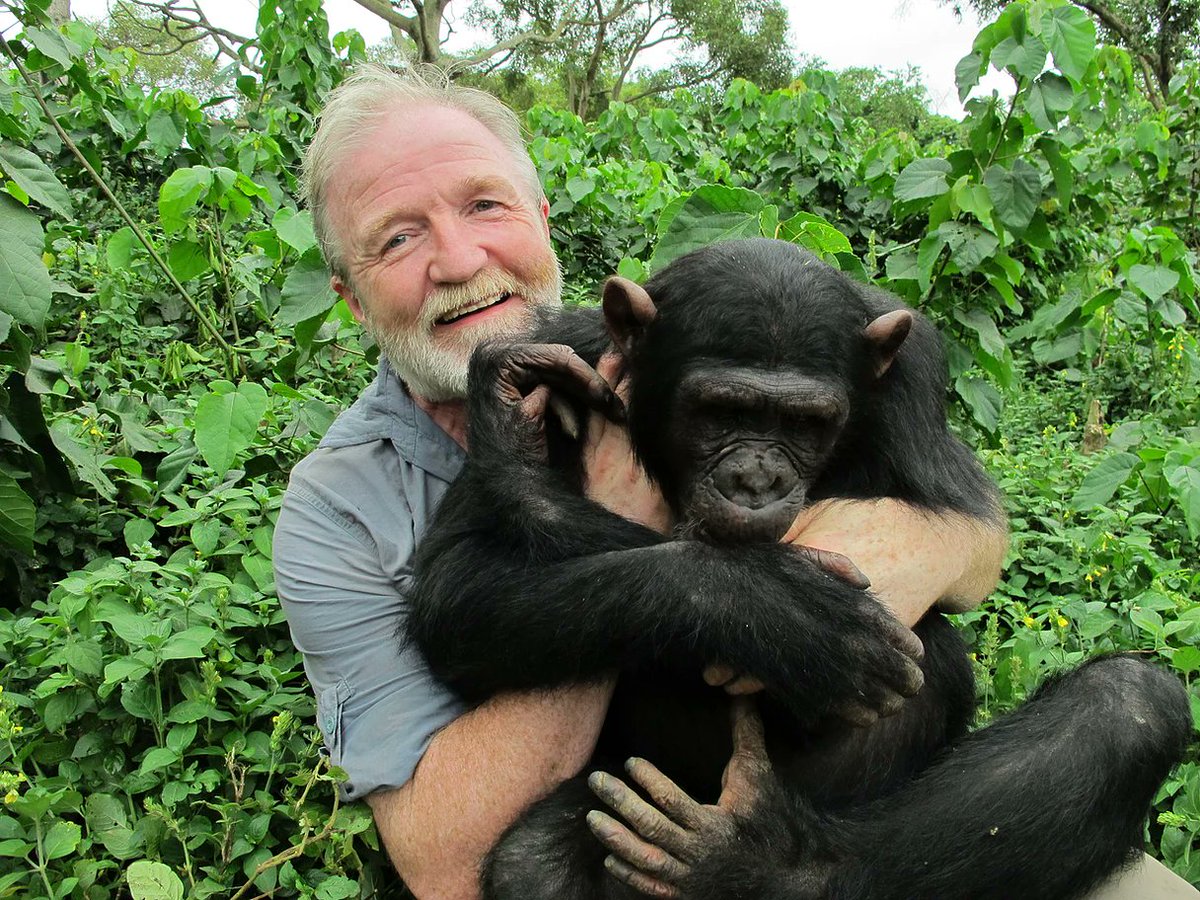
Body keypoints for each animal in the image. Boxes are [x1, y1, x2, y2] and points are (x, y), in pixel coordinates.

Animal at [405, 240, 1190, 900]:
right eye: (719, 412)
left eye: (805, 423)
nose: (756, 478)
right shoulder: (575, 349)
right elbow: (460, 589)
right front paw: (779, 612)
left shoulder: (915, 378)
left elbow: (966, 521)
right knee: (529, 864)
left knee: (1129, 705)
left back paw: (761, 864)